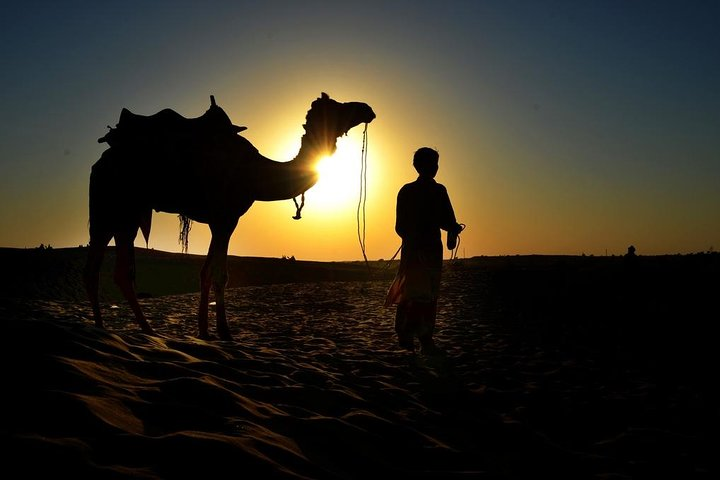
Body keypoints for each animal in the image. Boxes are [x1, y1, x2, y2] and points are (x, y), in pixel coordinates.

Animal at [84, 93, 376, 340]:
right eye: (338, 106)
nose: (367, 108)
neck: (257, 173)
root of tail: (100, 162)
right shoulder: (227, 218)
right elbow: (220, 274)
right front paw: (224, 331)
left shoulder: (220, 220)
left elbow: (205, 272)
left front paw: (204, 330)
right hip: (112, 209)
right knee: (104, 266)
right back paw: (130, 328)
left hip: (124, 215)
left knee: (106, 268)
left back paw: (114, 327)